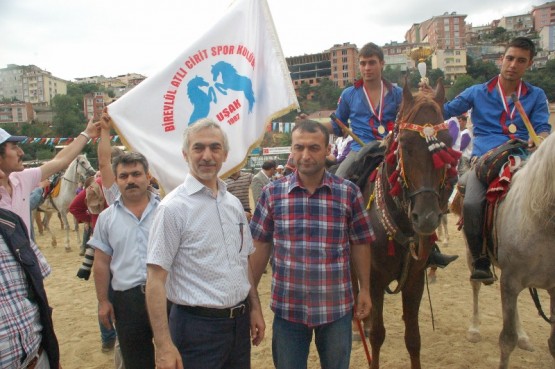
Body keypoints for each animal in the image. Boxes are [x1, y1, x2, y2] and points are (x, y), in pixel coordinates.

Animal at [362, 82, 458, 368]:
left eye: (447, 142)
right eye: (404, 143)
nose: (426, 218)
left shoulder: (415, 280)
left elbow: (413, 339)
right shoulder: (374, 280)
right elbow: (378, 335)